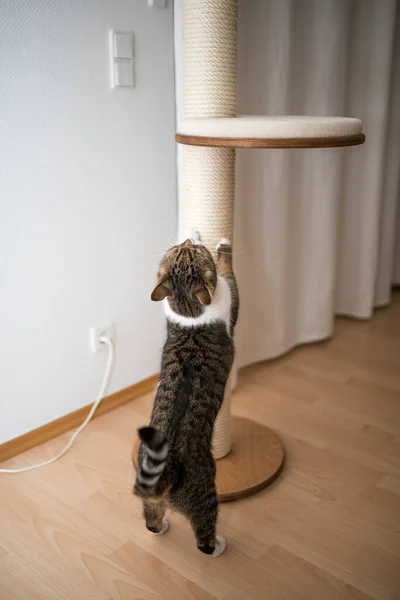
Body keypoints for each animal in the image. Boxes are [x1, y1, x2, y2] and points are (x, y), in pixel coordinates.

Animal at [133, 234, 239, 556]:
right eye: (188, 250)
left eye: (179, 250)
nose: (189, 239)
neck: (189, 309)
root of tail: (163, 471)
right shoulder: (232, 300)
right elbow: (228, 272)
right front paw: (222, 243)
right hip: (204, 491)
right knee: (203, 536)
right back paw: (218, 546)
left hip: (151, 499)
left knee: (151, 519)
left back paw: (162, 526)